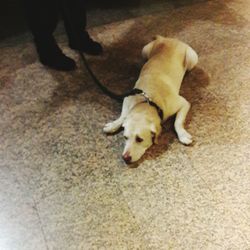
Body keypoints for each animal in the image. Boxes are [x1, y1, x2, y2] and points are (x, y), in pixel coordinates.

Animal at [102, 35, 198, 164]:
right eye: (125, 137)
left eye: (139, 139)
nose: (125, 158)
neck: (148, 102)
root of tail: (167, 38)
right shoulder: (127, 99)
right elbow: (123, 115)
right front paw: (113, 125)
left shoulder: (183, 103)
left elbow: (178, 122)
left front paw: (183, 135)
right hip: (144, 50)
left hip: (192, 57)